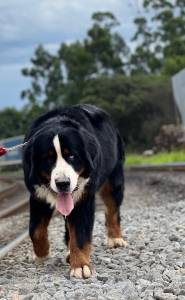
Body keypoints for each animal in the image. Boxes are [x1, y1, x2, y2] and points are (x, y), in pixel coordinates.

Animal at [22, 104, 127, 278]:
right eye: (48, 158)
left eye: (71, 155)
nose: (63, 183)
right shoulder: (37, 195)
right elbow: (35, 230)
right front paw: (41, 253)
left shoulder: (84, 198)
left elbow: (80, 233)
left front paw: (80, 266)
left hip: (114, 178)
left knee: (112, 209)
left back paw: (115, 238)